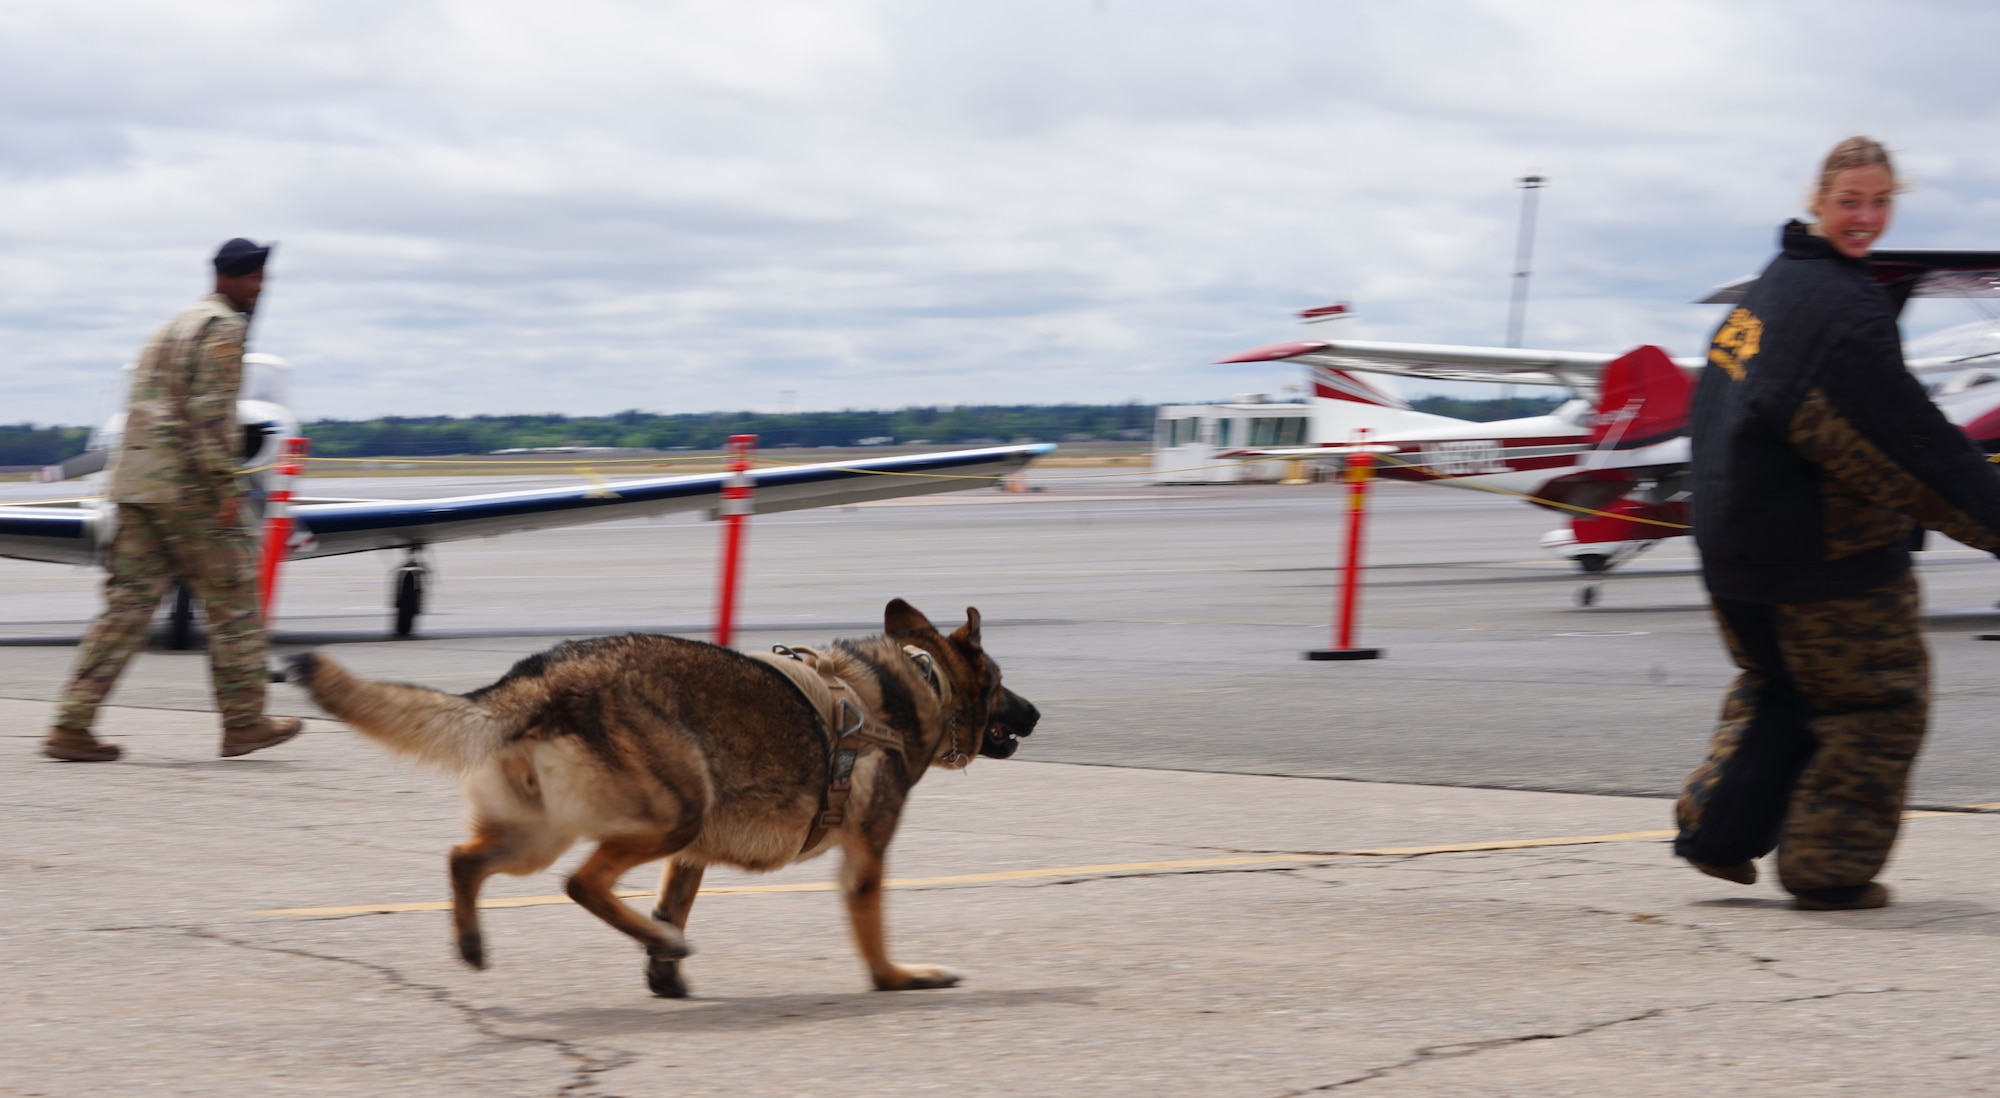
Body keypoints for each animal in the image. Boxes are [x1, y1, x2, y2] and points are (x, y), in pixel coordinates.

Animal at [290, 600, 1040, 992]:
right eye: (1002, 682)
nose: (1036, 714)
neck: (914, 684)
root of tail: (542, 676)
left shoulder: (695, 856)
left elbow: (674, 901)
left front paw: (663, 973)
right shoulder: (864, 859)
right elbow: (874, 937)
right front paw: (899, 978)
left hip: (543, 836)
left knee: (464, 861)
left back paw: (476, 942)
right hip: (671, 815)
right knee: (582, 884)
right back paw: (649, 939)